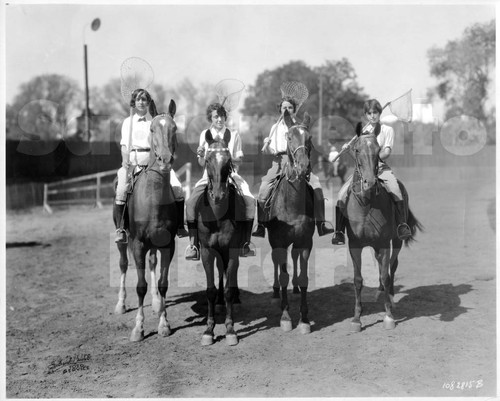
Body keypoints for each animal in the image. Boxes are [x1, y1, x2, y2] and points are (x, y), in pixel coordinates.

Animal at [113, 98, 178, 340]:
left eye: (174, 129)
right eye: (152, 129)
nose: (165, 159)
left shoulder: (168, 244)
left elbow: (163, 283)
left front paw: (164, 324)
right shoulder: (138, 244)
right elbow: (140, 285)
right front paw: (138, 328)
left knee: (152, 264)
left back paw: (157, 303)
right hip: (124, 241)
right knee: (123, 264)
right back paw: (121, 304)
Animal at [346, 125, 424, 332]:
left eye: (378, 150)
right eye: (357, 150)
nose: (370, 183)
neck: (366, 204)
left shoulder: (383, 243)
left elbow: (385, 275)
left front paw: (389, 316)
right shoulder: (355, 245)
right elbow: (358, 280)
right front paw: (357, 319)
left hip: (396, 241)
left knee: (392, 266)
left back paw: (391, 296)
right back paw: (380, 293)